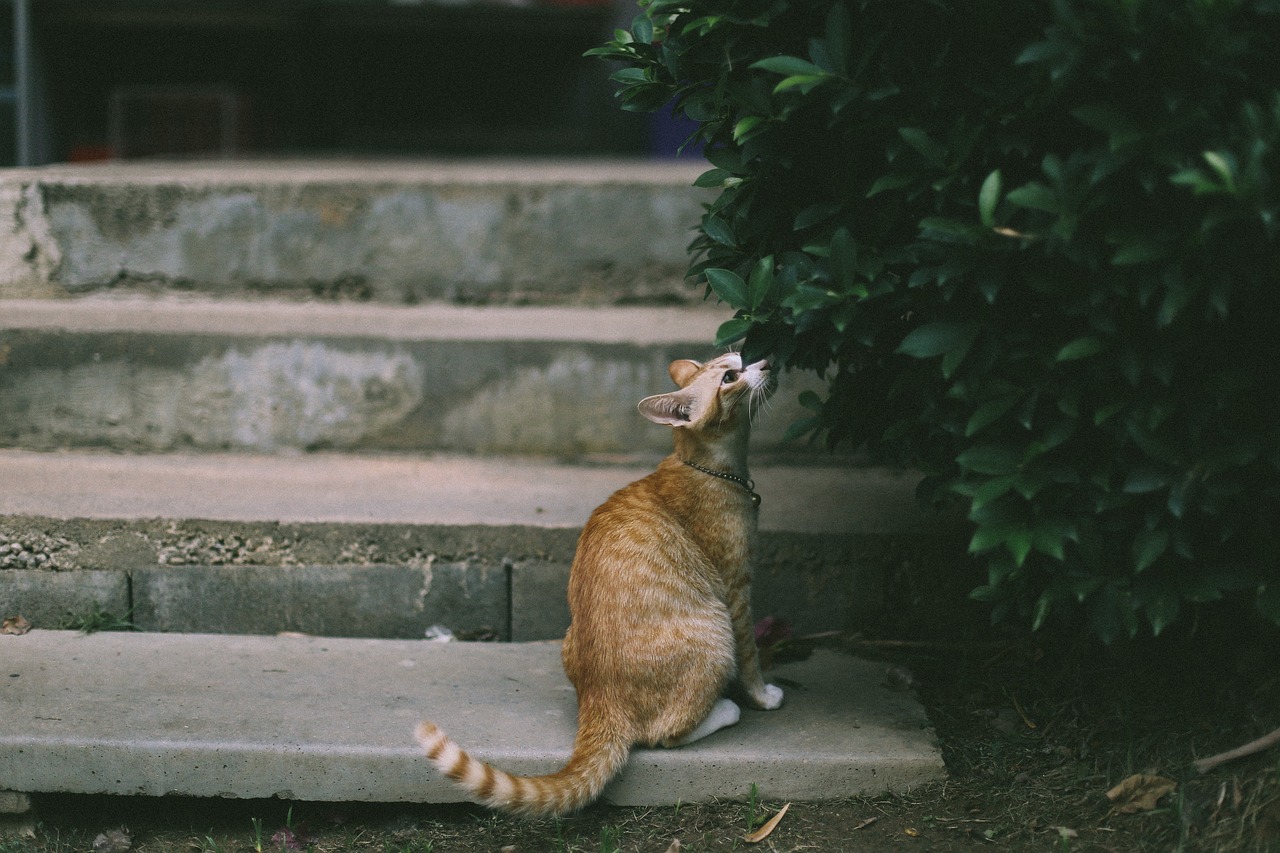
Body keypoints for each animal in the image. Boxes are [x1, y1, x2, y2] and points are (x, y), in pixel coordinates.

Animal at [414, 350, 783, 809]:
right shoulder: (736, 590)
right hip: (714, 632)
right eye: (731, 377)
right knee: (664, 735)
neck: (711, 467)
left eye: (741, 357)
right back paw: (724, 710)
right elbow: (751, 657)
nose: (767, 362)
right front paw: (763, 696)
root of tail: (600, 700)